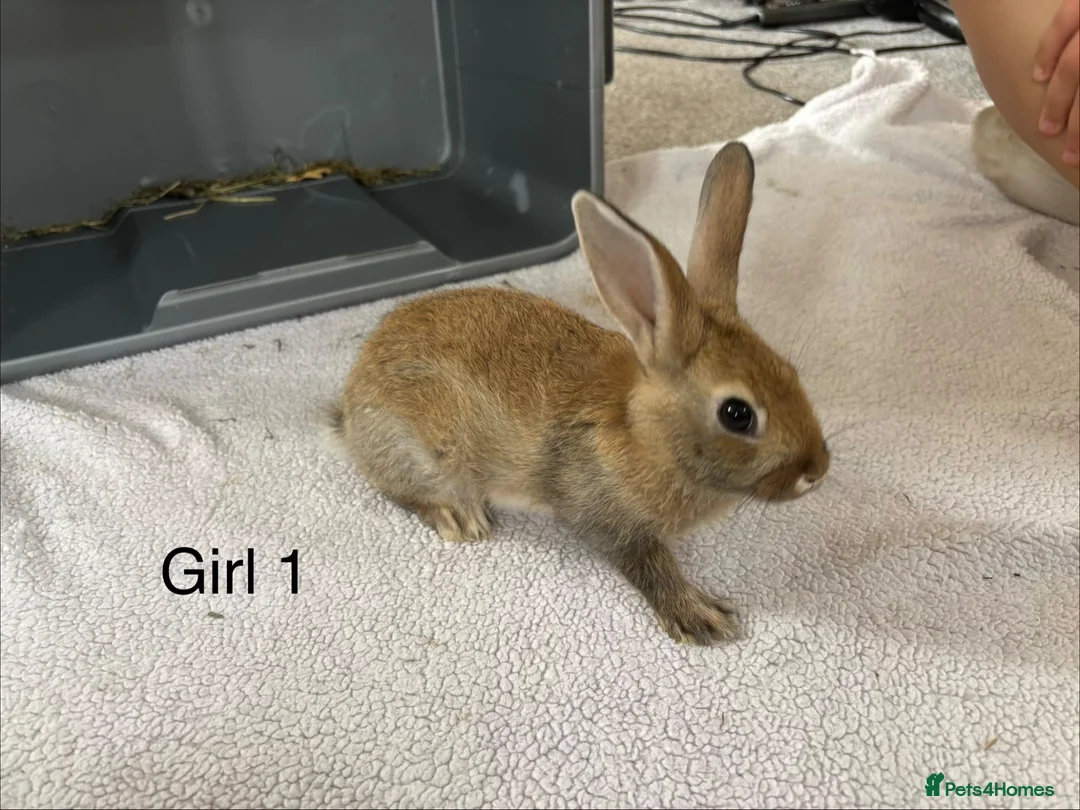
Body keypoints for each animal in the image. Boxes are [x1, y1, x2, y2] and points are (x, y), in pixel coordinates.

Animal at [321, 142, 830, 645]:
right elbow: (648, 565)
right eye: (737, 414)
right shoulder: (608, 518)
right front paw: (701, 617)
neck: (647, 434)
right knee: (400, 488)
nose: (818, 470)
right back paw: (458, 517)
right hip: (420, 448)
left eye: (790, 372)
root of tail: (349, 405)